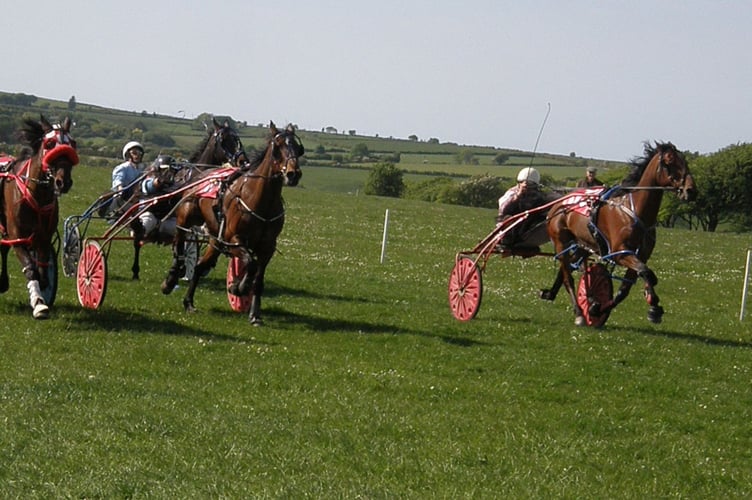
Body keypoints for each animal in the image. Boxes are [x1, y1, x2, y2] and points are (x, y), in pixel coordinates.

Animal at [0, 115, 78, 318]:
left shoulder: (43, 238)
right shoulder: (17, 236)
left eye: (73, 144)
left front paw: (43, 291)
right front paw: (39, 303)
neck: (37, 195)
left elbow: (42, 269)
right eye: (50, 144)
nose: (63, 182)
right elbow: (30, 269)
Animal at [162, 122, 306, 324]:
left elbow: (258, 278)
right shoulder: (234, 240)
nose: (294, 174)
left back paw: (189, 302)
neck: (259, 199)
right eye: (277, 147)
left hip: (215, 239)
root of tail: (201, 174)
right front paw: (238, 287)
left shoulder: (267, 247)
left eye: (298, 148)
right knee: (179, 241)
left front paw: (254, 314)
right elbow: (250, 263)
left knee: (199, 266)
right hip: (187, 217)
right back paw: (172, 278)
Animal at [540, 143, 700, 326]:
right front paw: (653, 305)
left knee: (567, 268)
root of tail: (558, 203)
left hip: (584, 245)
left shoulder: (641, 254)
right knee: (568, 277)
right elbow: (646, 272)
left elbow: (625, 289)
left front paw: (597, 308)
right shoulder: (620, 253)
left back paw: (553, 294)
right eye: (669, 161)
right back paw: (579, 313)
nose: (691, 190)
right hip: (561, 242)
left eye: (685, 161)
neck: (635, 211)